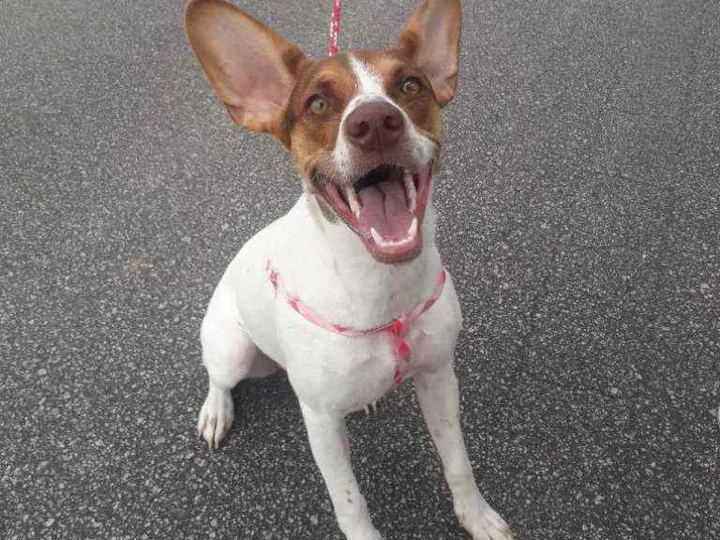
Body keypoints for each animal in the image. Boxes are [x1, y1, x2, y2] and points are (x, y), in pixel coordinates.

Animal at [185, 1, 513, 538]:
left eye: (410, 85)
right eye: (318, 104)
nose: (376, 121)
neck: (381, 287)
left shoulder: (438, 375)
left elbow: (457, 462)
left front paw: (477, 516)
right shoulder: (320, 422)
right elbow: (350, 502)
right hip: (233, 348)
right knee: (219, 376)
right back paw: (216, 410)